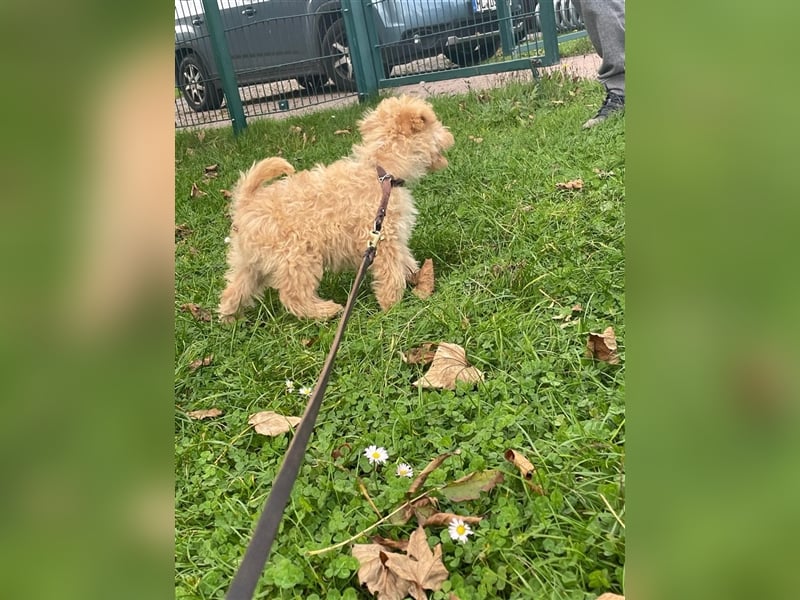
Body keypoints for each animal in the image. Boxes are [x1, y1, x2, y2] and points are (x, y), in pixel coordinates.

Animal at [217, 95, 456, 318]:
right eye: (435, 123)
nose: (451, 136)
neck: (382, 172)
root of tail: (245, 202)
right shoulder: (381, 237)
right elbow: (391, 271)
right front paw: (392, 306)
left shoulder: (392, 236)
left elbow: (405, 259)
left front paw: (417, 276)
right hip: (298, 257)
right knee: (293, 295)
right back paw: (327, 311)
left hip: (248, 262)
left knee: (233, 290)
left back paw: (230, 319)